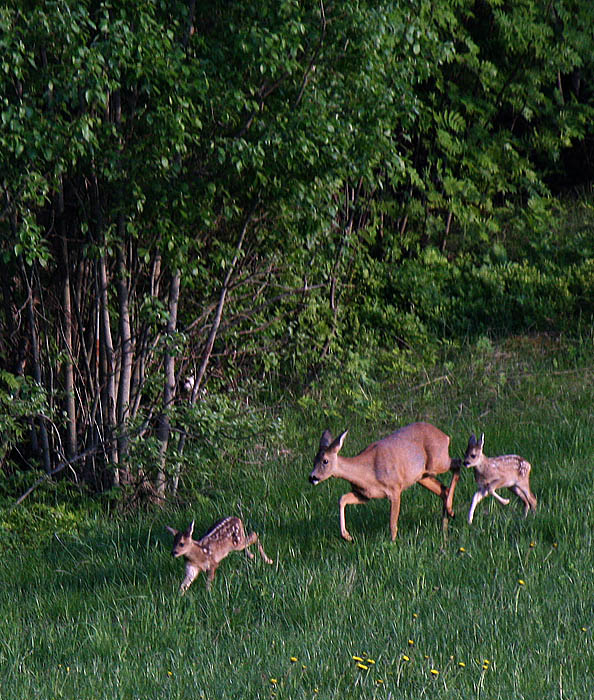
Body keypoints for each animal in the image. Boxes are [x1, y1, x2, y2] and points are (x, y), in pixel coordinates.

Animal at [308, 422, 460, 540]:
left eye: (325, 461)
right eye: (314, 460)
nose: (312, 477)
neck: (368, 474)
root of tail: (445, 436)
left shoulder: (395, 489)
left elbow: (392, 524)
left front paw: (392, 544)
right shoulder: (364, 495)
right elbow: (342, 499)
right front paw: (347, 536)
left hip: (437, 462)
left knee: (457, 464)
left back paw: (450, 512)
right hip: (423, 476)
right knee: (443, 489)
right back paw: (445, 526)